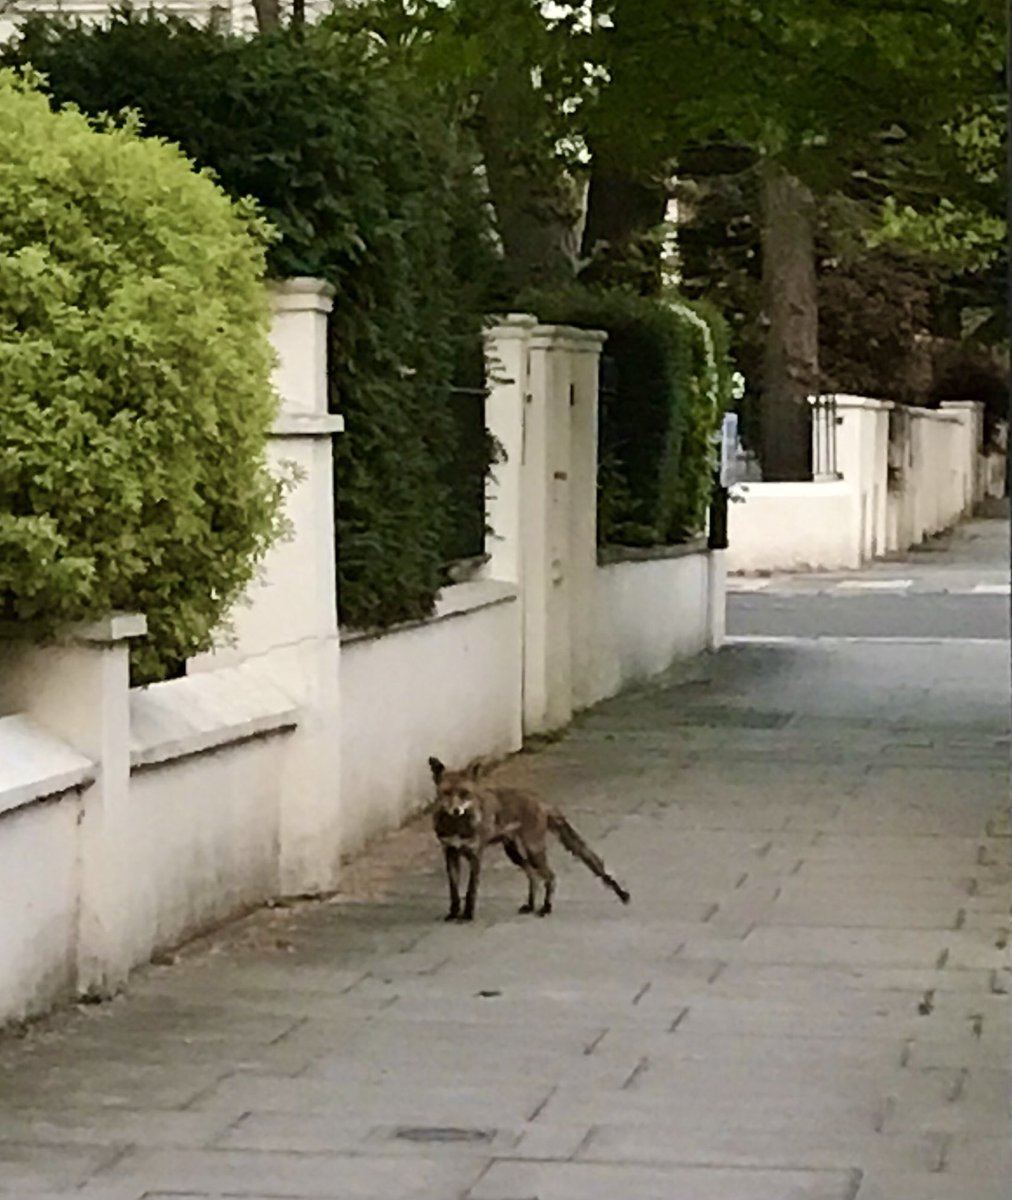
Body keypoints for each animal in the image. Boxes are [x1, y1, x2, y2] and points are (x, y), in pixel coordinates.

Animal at [424, 753, 629, 921]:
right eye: (446, 793)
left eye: (464, 793)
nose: (456, 810)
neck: (457, 827)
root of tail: (541, 801)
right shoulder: (450, 852)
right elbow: (454, 891)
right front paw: (453, 913)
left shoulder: (476, 855)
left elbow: (470, 890)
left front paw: (467, 915)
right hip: (514, 852)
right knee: (534, 876)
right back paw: (531, 905)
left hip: (532, 849)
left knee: (550, 876)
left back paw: (546, 907)